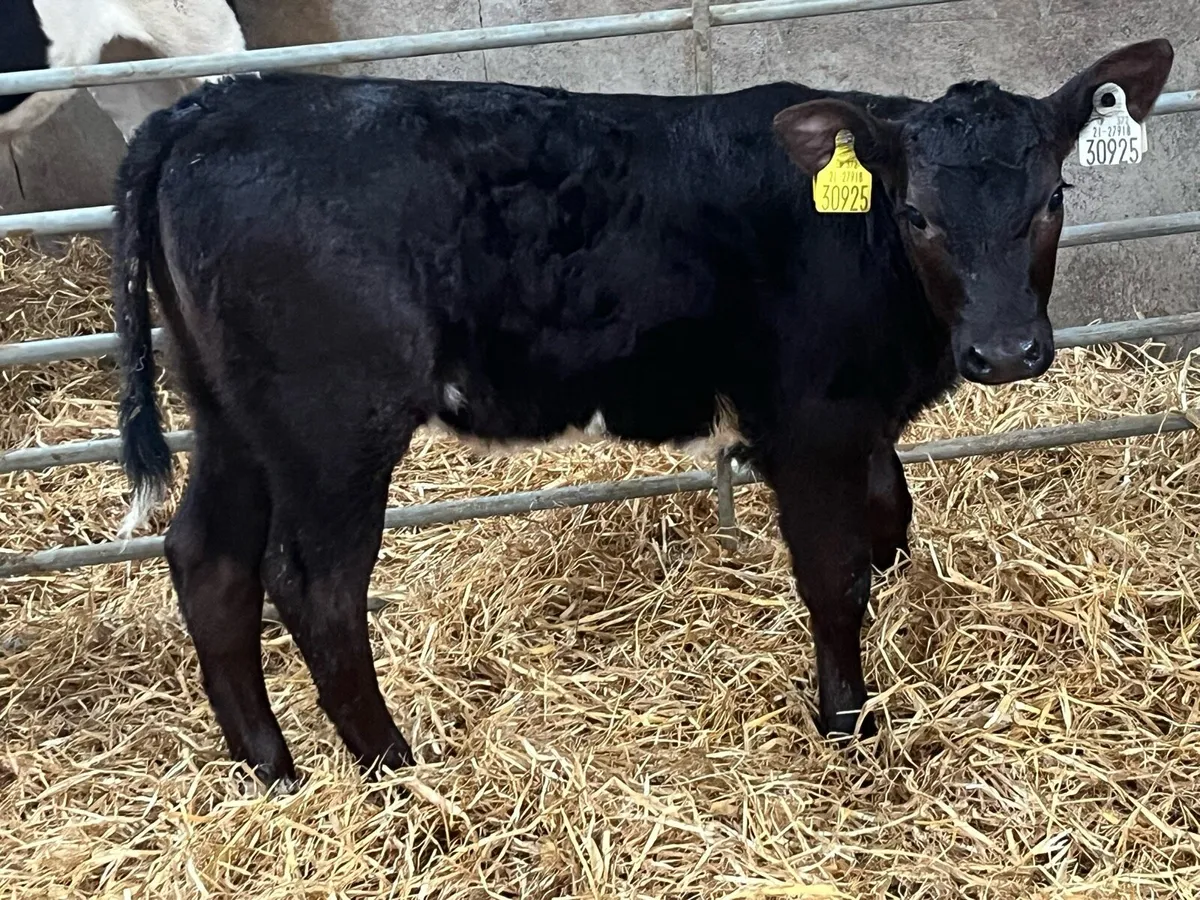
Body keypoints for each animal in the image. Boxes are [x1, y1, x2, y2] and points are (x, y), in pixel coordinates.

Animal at [111, 39, 1173, 788]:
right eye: (918, 216)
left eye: (1053, 196)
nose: (1007, 350)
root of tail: (215, 102)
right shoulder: (810, 424)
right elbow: (832, 575)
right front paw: (847, 724)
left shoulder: (861, 420)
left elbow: (890, 516)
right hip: (334, 424)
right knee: (314, 585)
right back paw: (394, 773)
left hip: (230, 412)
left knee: (209, 559)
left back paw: (272, 772)